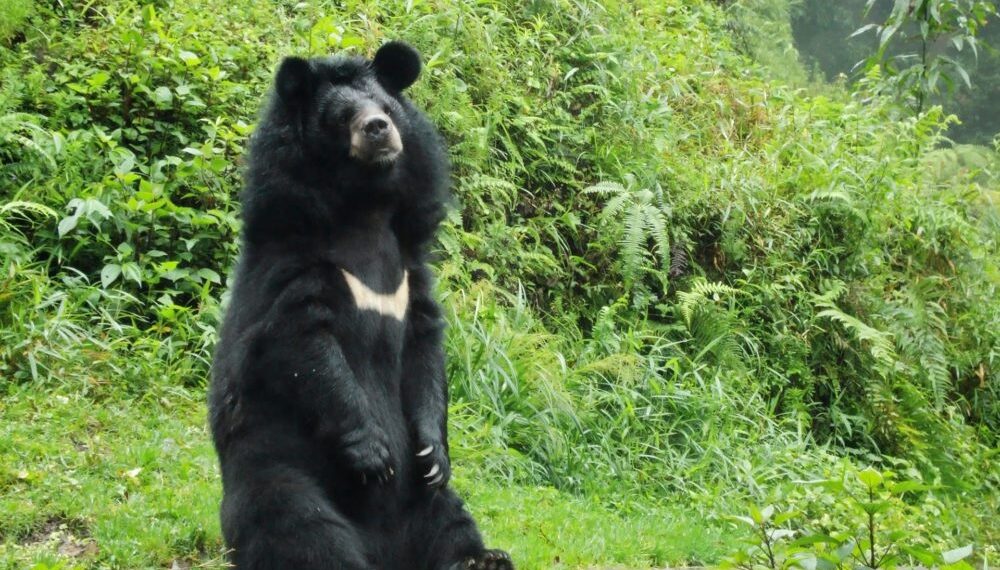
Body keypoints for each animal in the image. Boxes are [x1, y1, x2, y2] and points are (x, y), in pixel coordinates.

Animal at [207, 41, 514, 570]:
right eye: (341, 116)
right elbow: (305, 346)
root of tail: (387, 551)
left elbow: (425, 352)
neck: (365, 207)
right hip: (278, 469)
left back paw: (482, 558)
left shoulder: (411, 276)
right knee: (299, 526)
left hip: (427, 506)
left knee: (449, 519)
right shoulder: (294, 264)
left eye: (386, 107)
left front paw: (433, 454)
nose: (378, 129)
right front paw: (373, 454)